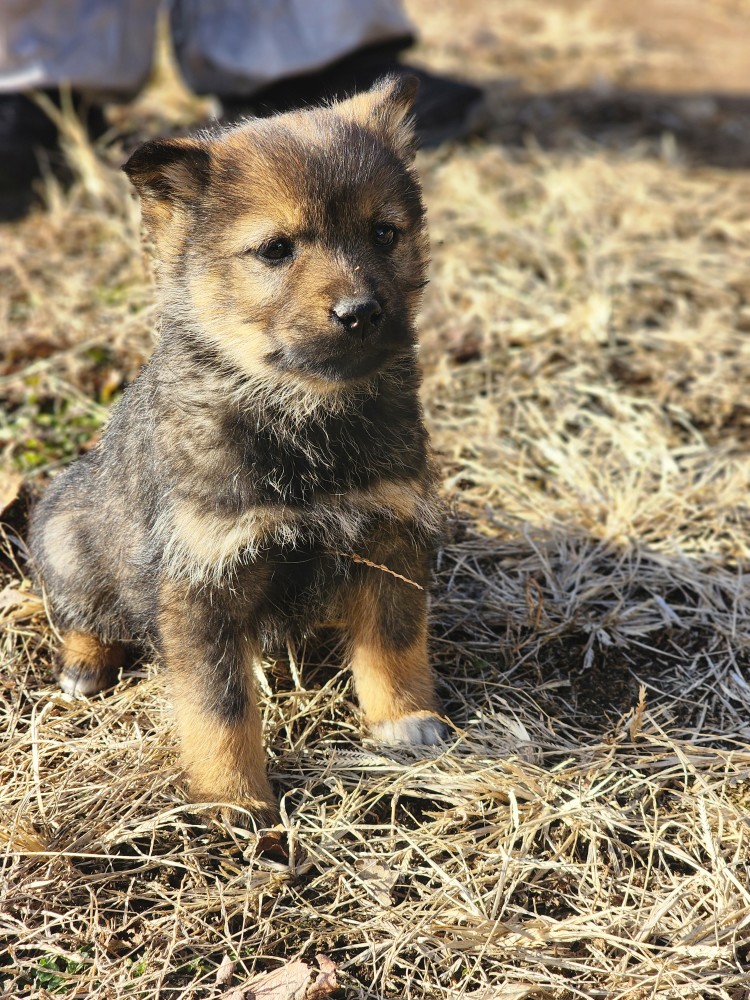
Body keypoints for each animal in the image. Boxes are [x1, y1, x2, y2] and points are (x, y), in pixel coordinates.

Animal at [29, 78, 450, 824]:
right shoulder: (202, 583)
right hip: (65, 537)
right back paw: (83, 669)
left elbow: (395, 642)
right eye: (276, 250)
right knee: (84, 614)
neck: (304, 416)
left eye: (384, 232)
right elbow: (219, 707)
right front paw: (236, 804)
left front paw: (405, 721)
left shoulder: (390, 534)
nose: (362, 313)